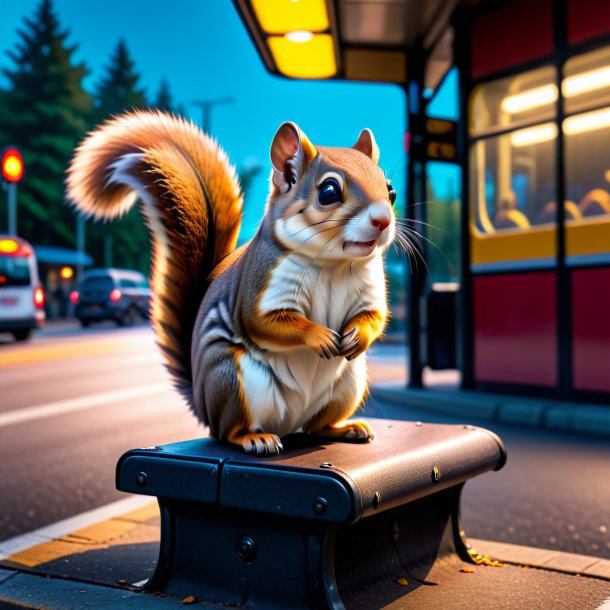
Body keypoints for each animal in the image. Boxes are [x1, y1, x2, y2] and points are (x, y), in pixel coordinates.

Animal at [67, 110, 400, 452]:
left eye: (390, 190)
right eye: (329, 192)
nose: (383, 220)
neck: (333, 264)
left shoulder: (370, 289)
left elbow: (374, 316)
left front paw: (358, 335)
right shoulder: (262, 281)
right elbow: (262, 321)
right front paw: (318, 336)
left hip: (349, 382)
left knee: (316, 427)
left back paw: (347, 428)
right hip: (231, 379)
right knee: (229, 431)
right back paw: (255, 438)